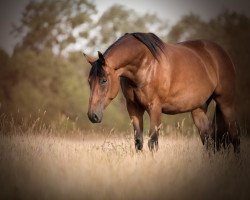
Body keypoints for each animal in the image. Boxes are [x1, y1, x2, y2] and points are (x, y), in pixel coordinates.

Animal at [84, 32, 240, 152]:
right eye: (89, 81)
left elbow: (153, 142)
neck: (144, 64)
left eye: (104, 80)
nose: (93, 116)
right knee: (209, 140)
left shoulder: (155, 108)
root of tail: (221, 52)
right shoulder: (134, 107)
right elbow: (138, 142)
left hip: (226, 103)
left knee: (235, 136)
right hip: (198, 109)